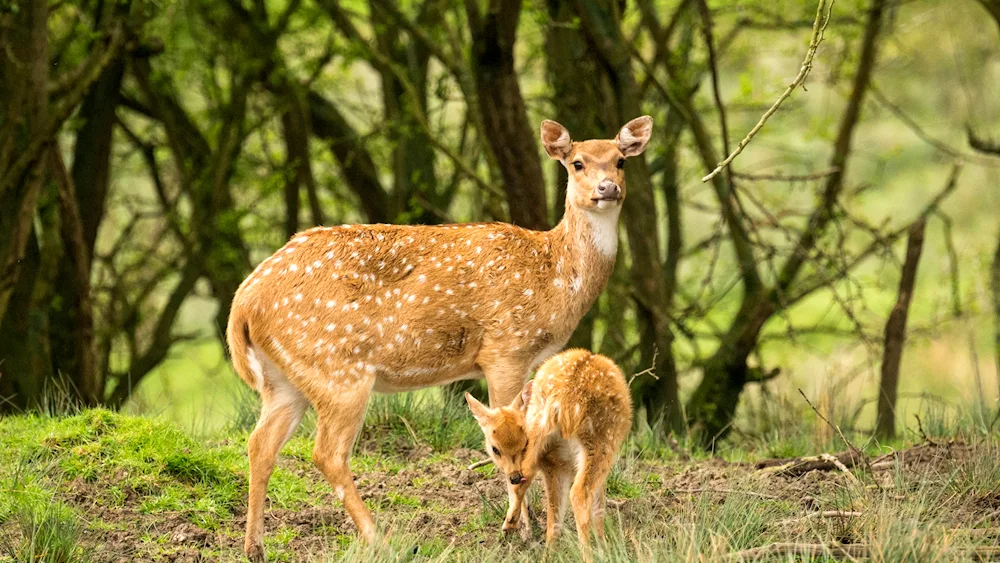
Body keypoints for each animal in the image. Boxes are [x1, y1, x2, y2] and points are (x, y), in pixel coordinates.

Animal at [464, 350, 628, 556]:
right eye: (495, 449)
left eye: (523, 443)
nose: (513, 476)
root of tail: (562, 400)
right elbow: (599, 506)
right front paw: (604, 544)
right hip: (601, 442)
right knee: (580, 494)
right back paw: (593, 554)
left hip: (547, 448)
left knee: (536, 490)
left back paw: (514, 528)